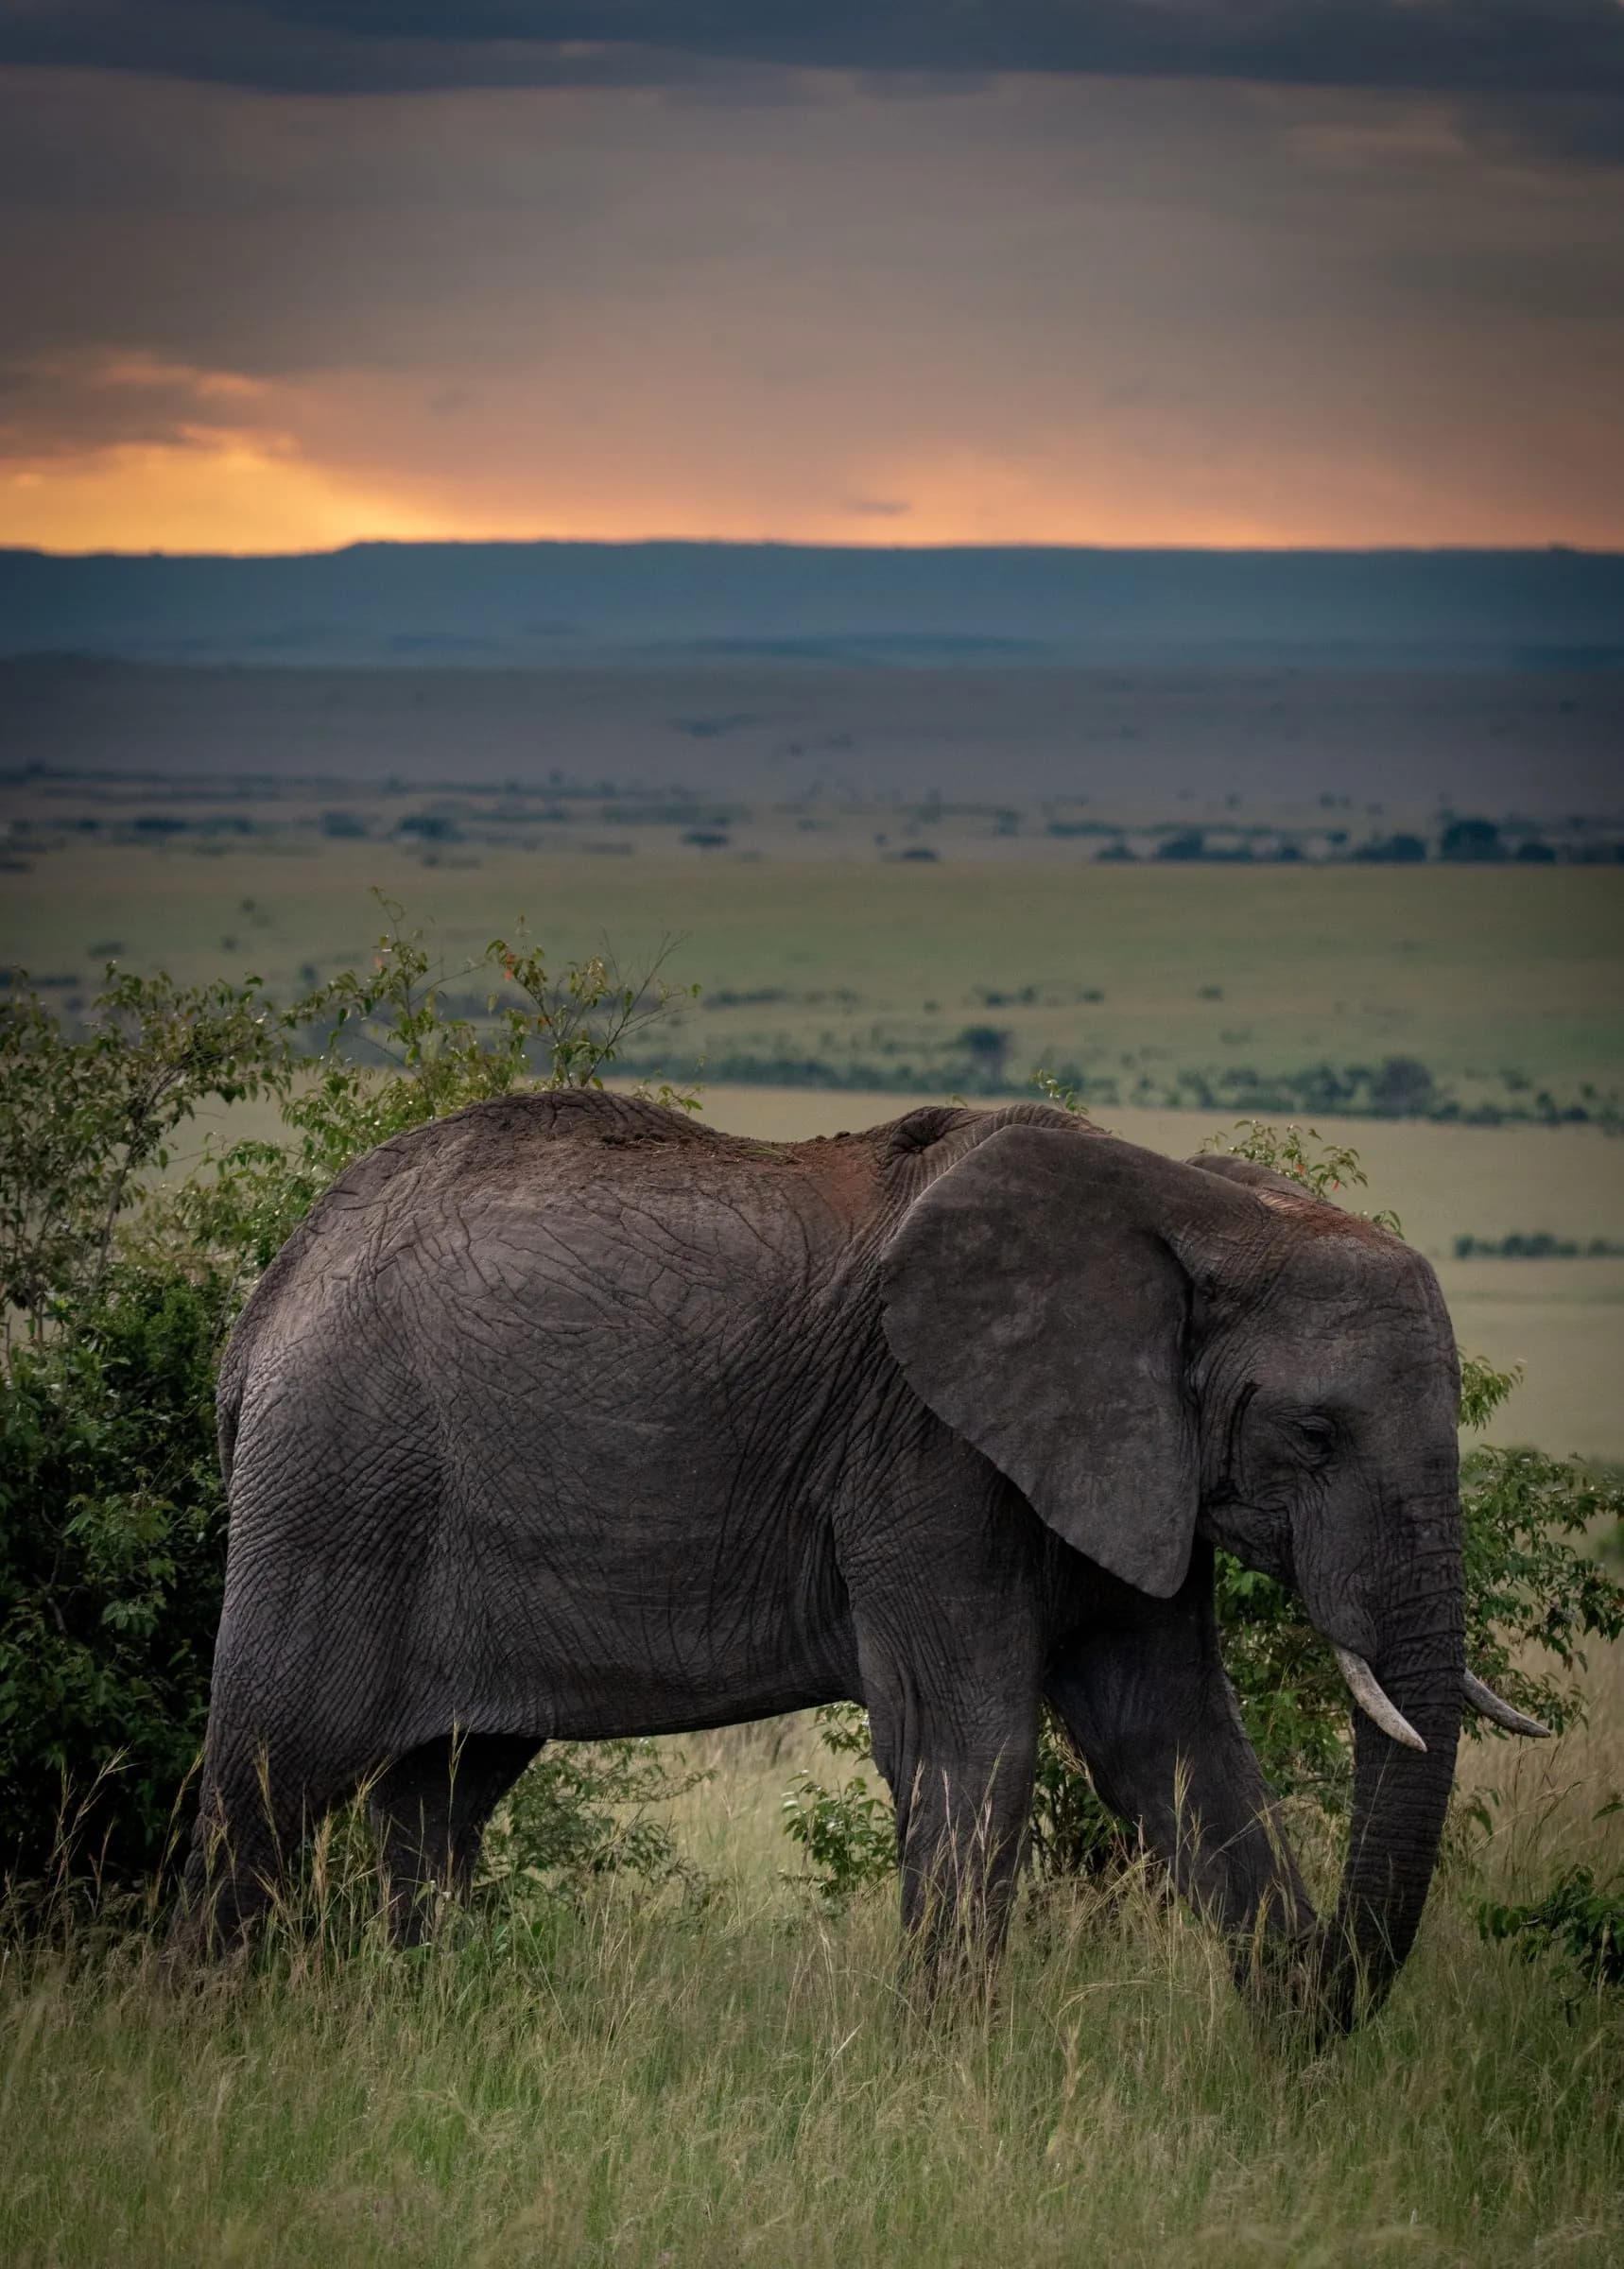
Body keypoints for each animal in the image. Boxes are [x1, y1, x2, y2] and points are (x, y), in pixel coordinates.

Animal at [179, 1092, 1545, 2023]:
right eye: (1312, 1435)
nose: (1319, 1990)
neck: (1194, 1210)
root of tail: (266, 1302)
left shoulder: (1125, 1458)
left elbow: (1172, 1739)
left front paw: (1285, 2071)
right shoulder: (928, 1451)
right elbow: (968, 1746)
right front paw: (952, 2083)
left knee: (443, 1791)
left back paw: (441, 2028)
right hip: (338, 1481)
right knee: (271, 1769)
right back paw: (210, 2042)